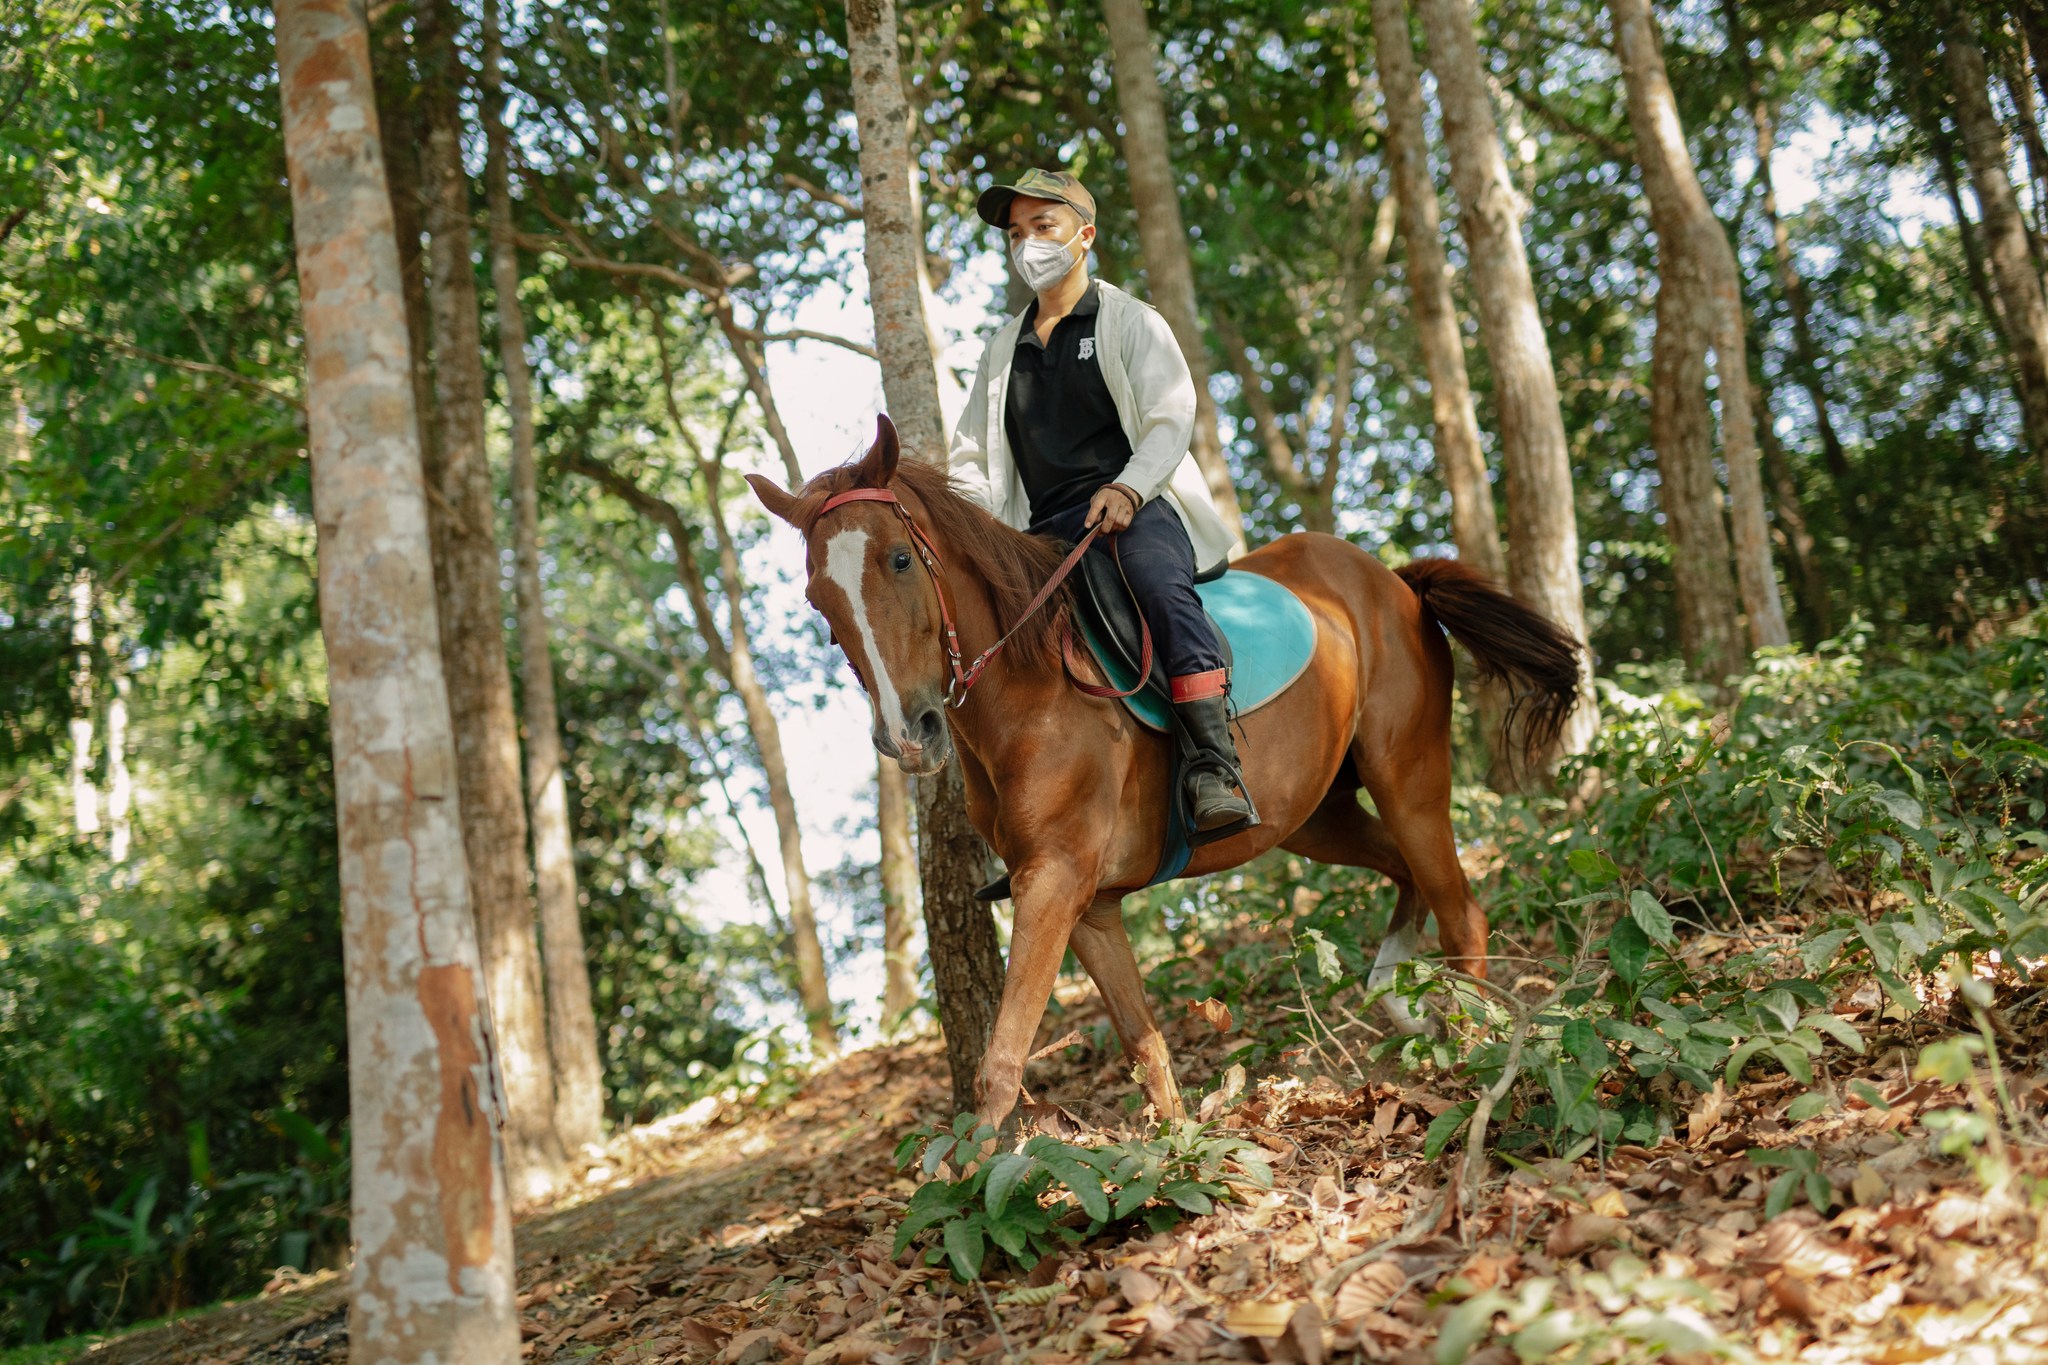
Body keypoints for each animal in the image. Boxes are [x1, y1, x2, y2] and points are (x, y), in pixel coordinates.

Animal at [753, 419, 1581, 1129]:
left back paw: (1472, 1052)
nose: (908, 734)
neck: (1031, 686)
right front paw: (1179, 1163)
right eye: (819, 600)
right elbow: (1145, 1048)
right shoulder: (1088, 904)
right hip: (1317, 817)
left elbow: (1003, 1061)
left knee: (1461, 912)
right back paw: (1401, 1004)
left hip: (1408, 776)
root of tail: (1397, 582)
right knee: (1405, 875)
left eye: (899, 559)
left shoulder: (1053, 880)